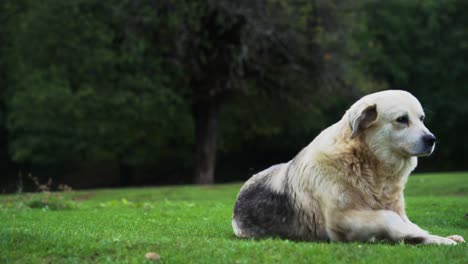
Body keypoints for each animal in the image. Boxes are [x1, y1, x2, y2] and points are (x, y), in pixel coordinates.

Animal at [233, 91, 464, 245]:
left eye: (421, 119)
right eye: (402, 120)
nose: (432, 139)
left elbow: (405, 221)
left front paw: (440, 237)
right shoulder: (340, 220)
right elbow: (388, 217)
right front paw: (419, 235)